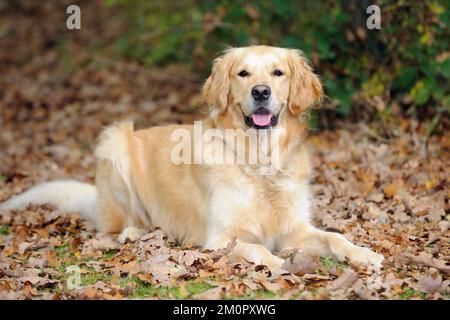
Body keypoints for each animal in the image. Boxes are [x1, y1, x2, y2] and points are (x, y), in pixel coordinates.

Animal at [1, 45, 384, 270]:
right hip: (115, 141)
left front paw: (363, 253)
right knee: (120, 223)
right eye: (243, 73)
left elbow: (335, 237)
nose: (261, 92)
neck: (258, 160)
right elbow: (257, 250)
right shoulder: (220, 238)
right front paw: (279, 265)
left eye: (278, 73)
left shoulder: (295, 227)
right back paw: (133, 233)